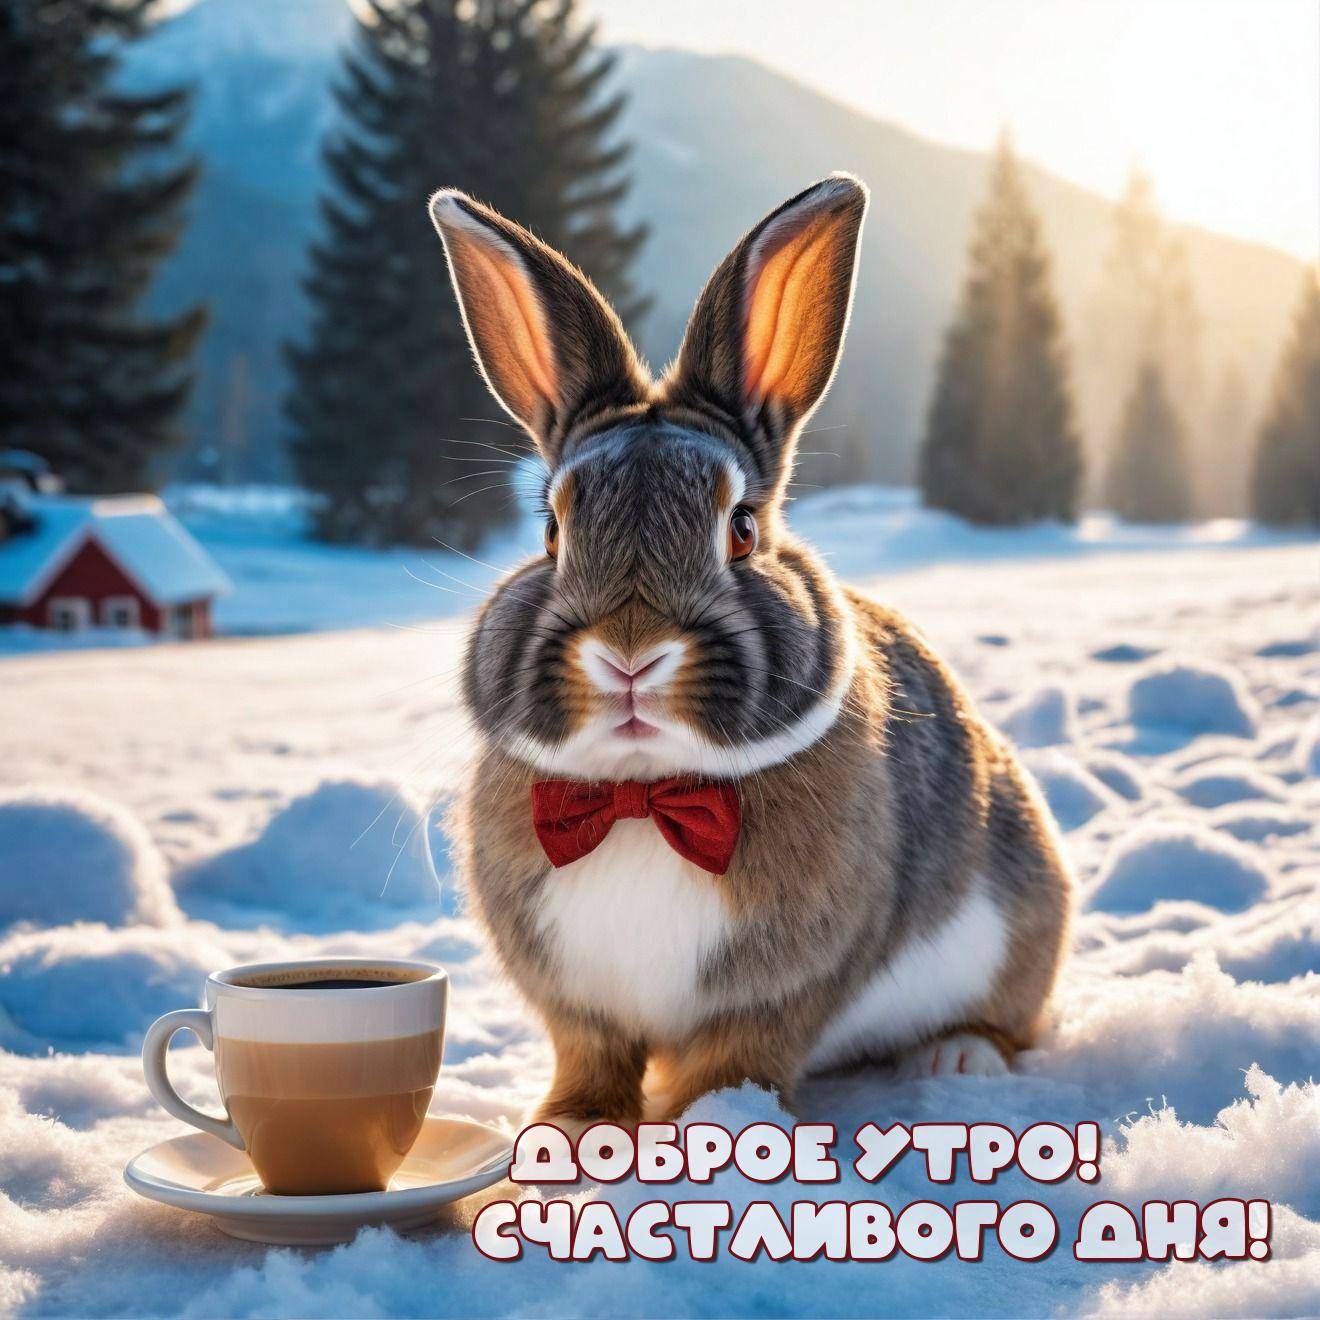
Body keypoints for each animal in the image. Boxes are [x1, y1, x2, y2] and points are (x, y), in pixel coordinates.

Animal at [429, 174, 1075, 1128]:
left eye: (740, 530)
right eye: (551, 531)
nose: (629, 657)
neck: (644, 795)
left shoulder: (774, 997)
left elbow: (733, 1061)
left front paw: (717, 1129)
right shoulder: (580, 1008)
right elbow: (592, 1060)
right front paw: (567, 1129)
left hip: (1024, 911)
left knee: (1010, 1017)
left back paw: (960, 1058)